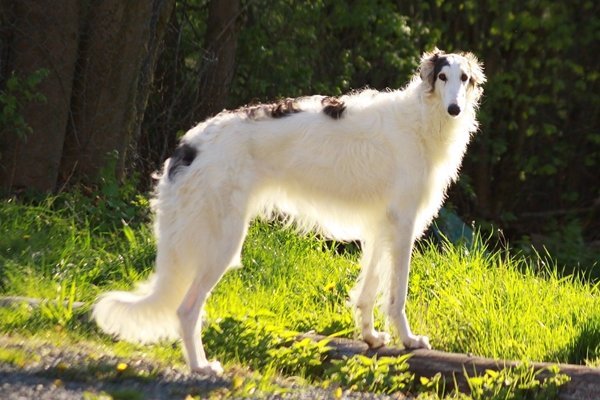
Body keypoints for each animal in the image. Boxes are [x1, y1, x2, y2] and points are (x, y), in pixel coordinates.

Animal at [95, 50, 488, 376]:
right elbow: (396, 296)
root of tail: (188, 146)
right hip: (222, 242)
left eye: (465, 78)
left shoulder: (381, 226)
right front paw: (409, 340)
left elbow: (367, 292)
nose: (455, 109)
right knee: (186, 309)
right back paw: (201, 367)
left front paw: (372, 337)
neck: (420, 120)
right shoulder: (403, 224)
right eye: (442, 77)